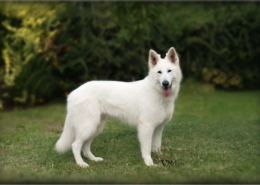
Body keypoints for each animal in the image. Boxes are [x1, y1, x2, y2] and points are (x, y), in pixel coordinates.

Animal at [54, 47, 182, 167]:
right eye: (159, 72)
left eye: (169, 71)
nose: (165, 84)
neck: (156, 92)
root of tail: (72, 94)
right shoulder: (146, 126)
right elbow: (146, 149)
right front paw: (149, 163)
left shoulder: (159, 128)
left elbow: (156, 146)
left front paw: (161, 158)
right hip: (88, 126)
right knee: (75, 145)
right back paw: (81, 164)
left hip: (96, 127)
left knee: (85, 147)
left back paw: (93, 159)